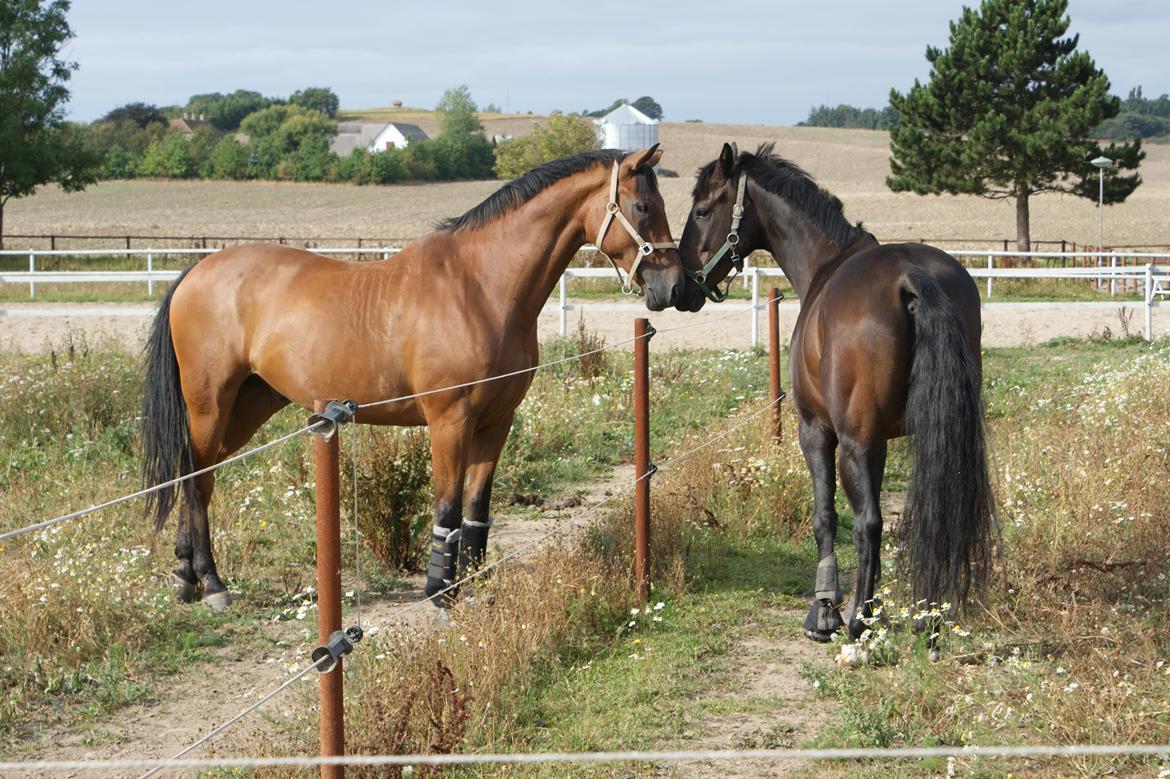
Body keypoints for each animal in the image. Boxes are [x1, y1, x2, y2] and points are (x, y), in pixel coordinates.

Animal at [141, 143, 683, 608]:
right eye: (642, 207)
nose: (677, 286)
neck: (479, 286)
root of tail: (195, 272)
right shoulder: (449, 422)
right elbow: (447, 509)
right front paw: (440, 591)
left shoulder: (496, 422)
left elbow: (477, 510)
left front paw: (473, 585)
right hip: (210, 404)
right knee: (195, 477)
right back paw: (211, 582)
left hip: (247, 406)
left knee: (200, 479)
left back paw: (186, 576)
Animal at [678, 142, 996, 640]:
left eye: (703, 210)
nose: (679, 285)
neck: (826, 263)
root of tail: (911, 277)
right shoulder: (880, 441)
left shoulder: (817, 432)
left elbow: (825, 516)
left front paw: (825, 608)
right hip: (934, 432)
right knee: (935, 513)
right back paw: (929, 613)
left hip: (853, 441)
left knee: (868, 523)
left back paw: (859, 621)